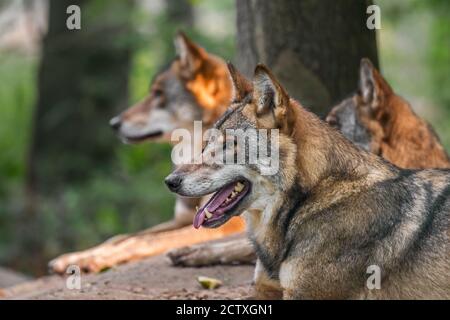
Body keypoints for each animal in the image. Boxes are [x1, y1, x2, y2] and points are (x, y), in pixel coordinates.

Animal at [165, 63, 450, 300]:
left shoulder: (304, 294)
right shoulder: (263, 288)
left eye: (229, 145)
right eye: (206, 144)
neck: (308, 200)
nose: (170, 181)